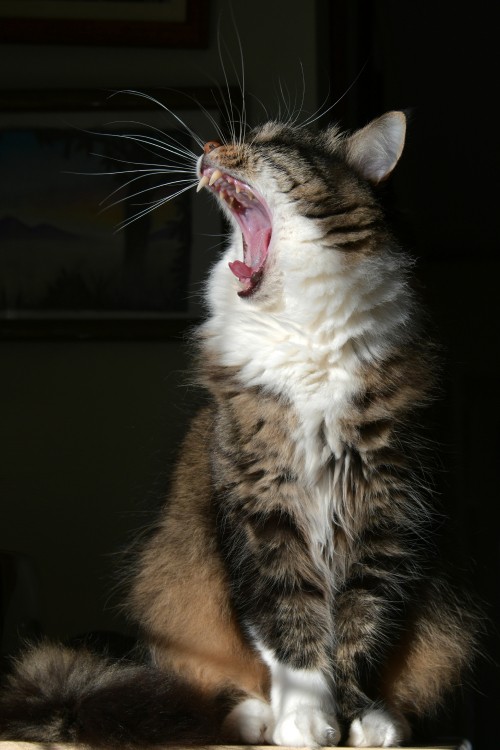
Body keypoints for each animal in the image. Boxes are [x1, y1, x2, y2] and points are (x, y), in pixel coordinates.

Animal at [0, 106, 478, 748]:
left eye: (273, 143)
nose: (208, 145)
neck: (304, 337)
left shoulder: (388, 511)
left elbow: (361, 631)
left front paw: (358, 718)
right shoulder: (260, 508)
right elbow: (288, 629)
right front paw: (306, 721)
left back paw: (387, 720)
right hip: (172, 581)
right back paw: (255, 719)